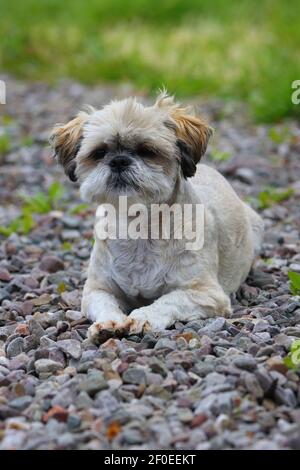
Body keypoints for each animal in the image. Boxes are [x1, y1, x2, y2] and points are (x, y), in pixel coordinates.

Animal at [50, 92, 264, 342]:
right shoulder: (96, 290)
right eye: (99, 153)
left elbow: (168, 300)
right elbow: (105, 304)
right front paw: (108, 324)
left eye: (147, 150)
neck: (140, 226)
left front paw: (144, 318)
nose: (119, 160)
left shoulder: (206, 293)